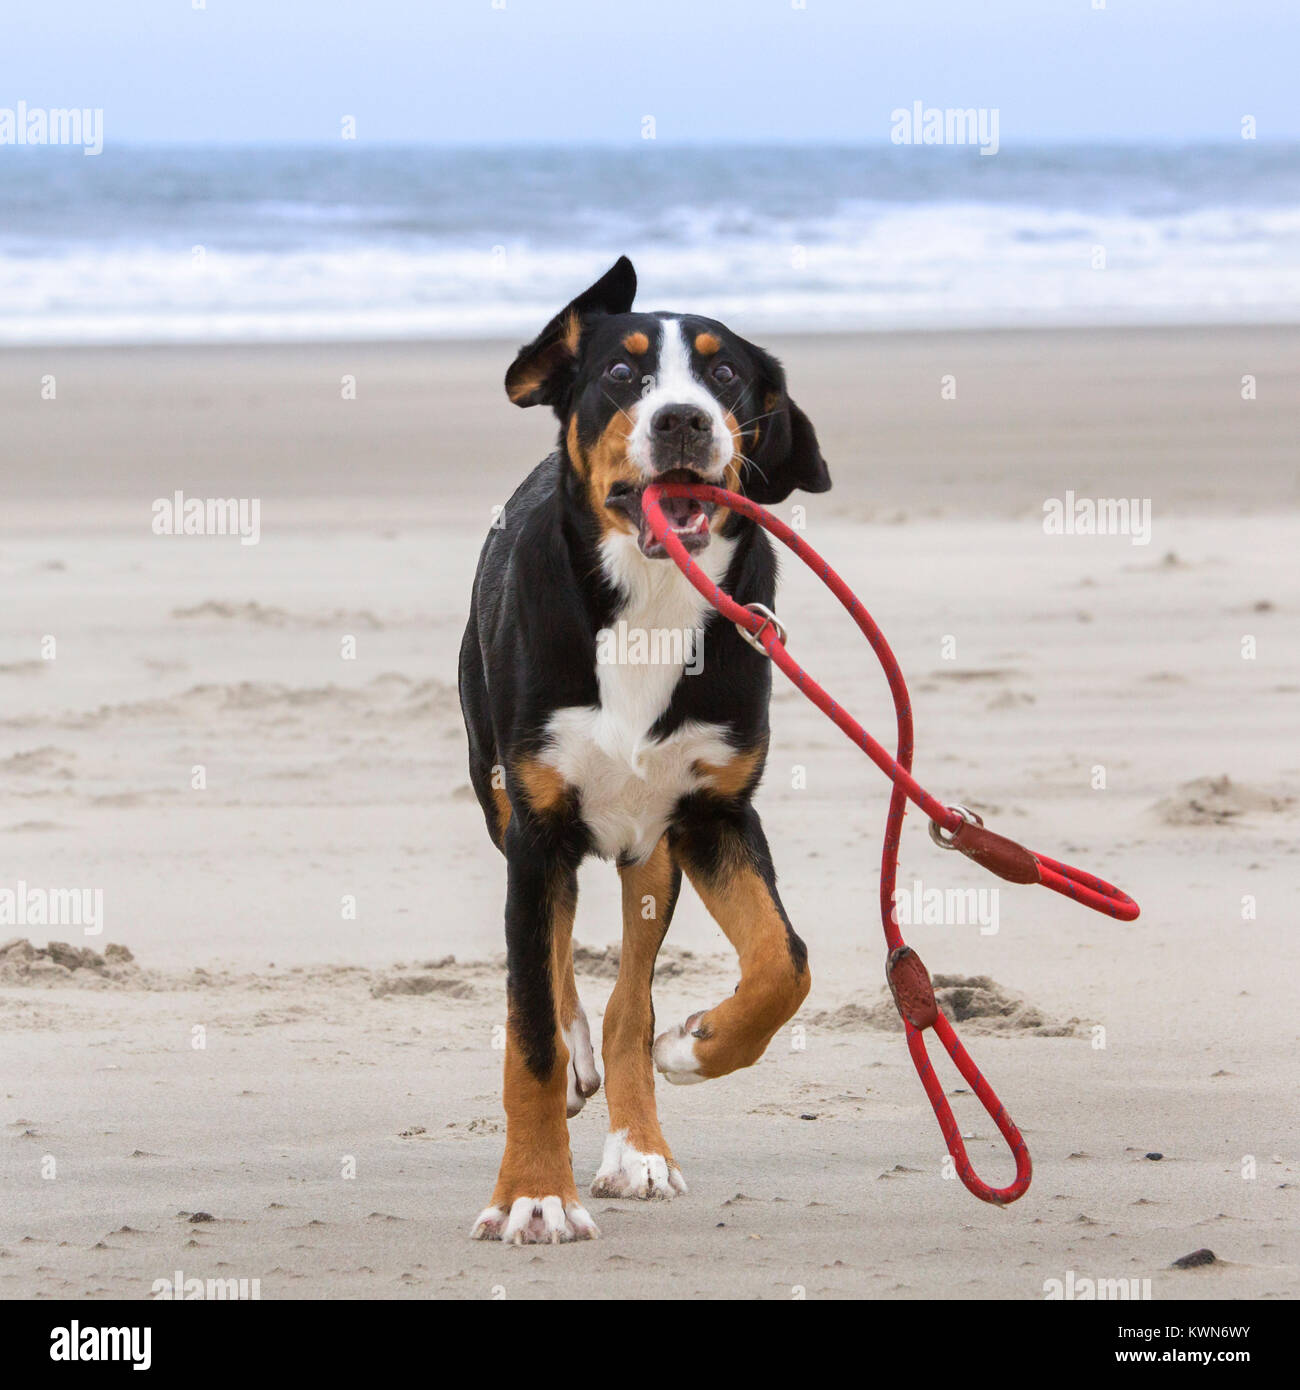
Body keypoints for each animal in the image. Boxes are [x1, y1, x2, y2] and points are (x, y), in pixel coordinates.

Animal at [458, 255, 834, 1245]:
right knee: (556, 974)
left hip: (650, 851)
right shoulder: (537, 829)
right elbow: (530, 1030)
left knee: (630, 997)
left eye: (726, 373)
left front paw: (698, 1047)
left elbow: (785, 961)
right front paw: (534, 1192)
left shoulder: (714, 812)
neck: (651, 600)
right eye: (623, 374)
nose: (682, 420)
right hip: (500, 798)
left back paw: (641, 1147)